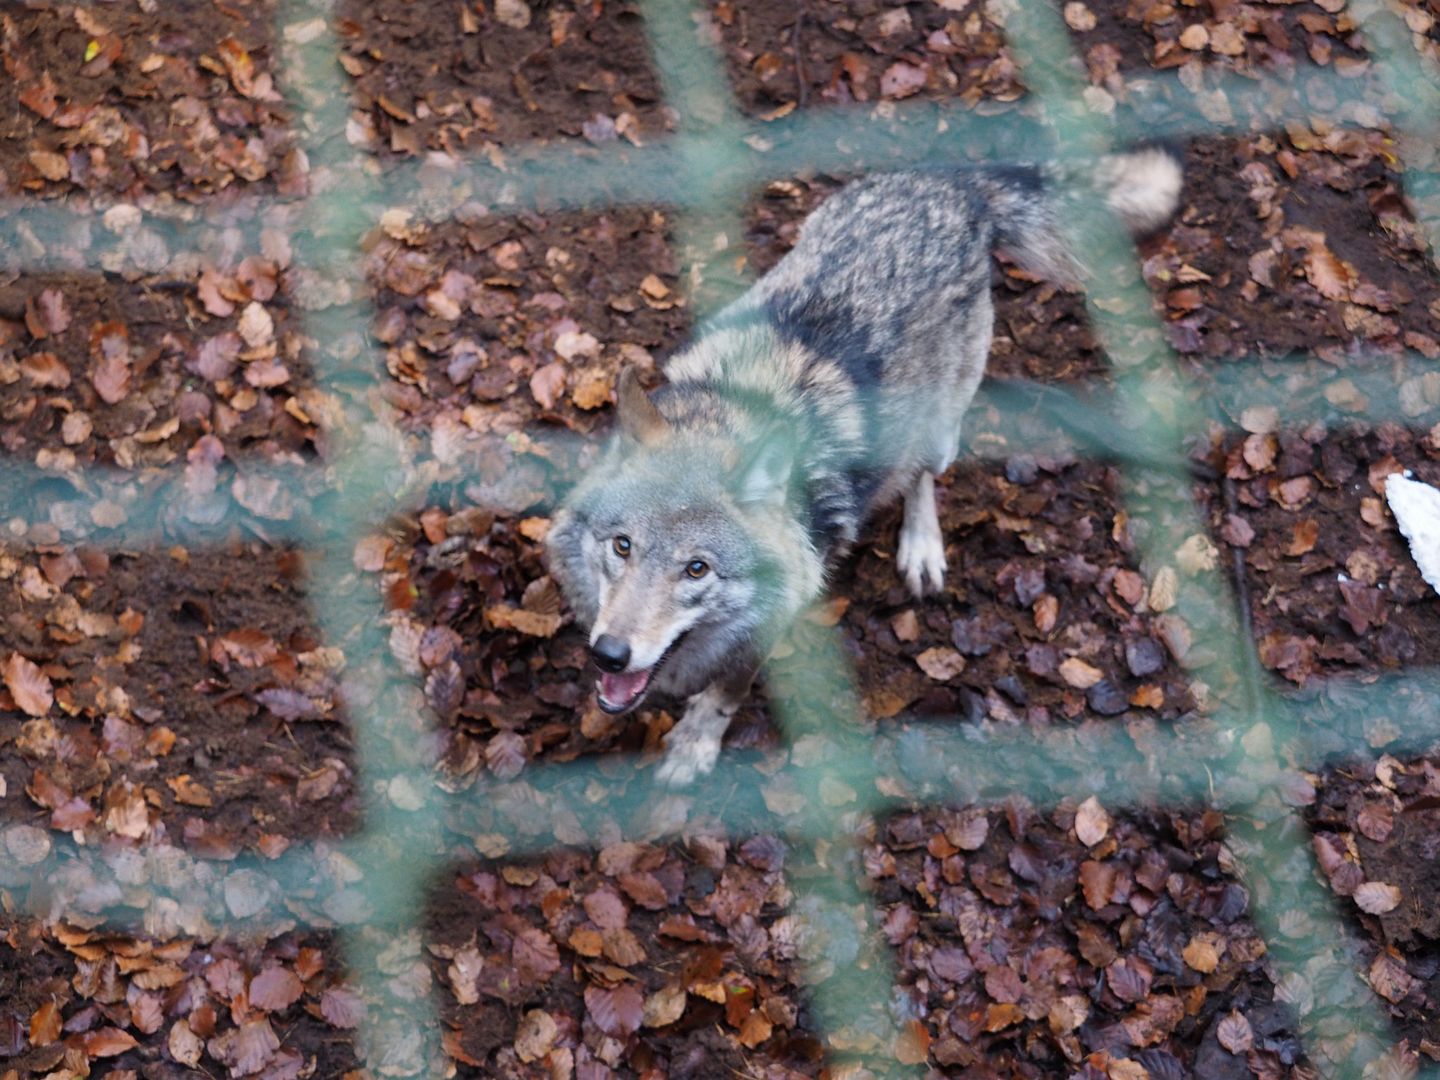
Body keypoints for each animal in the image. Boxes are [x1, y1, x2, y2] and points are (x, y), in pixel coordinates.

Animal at [541, 146, 1180, 789]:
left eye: (697, 569)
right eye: (622, 546)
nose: (609, 653)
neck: (726, 414)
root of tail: (952, 184)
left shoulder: (770, 624)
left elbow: (726, 692)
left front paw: (695, 747)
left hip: (939, 428)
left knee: (922, 473)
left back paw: (921, 547)